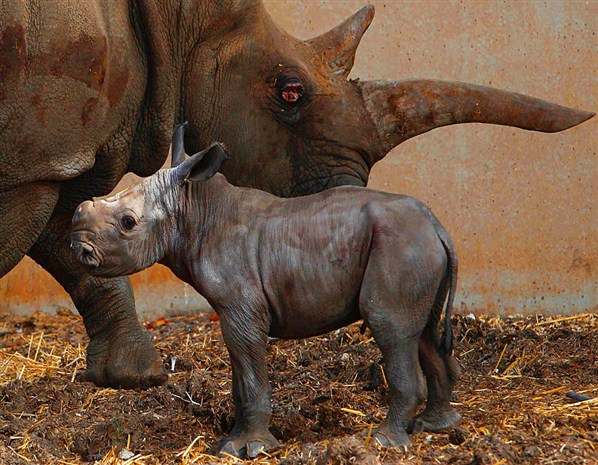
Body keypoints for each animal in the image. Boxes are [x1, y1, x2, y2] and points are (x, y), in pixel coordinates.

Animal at [71, 125, 464, 458]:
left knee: (389, 325)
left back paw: (384, 441)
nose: (78, 247)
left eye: (128, 223)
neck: (193, 208)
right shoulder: (233, 308)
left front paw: (250, 449)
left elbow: (249, 373)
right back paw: (436, 427)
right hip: (415, 247)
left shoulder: (242, 308)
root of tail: (437, 226)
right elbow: (240, 375)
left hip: (400, 248)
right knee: (422, 331)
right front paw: (228, 443)